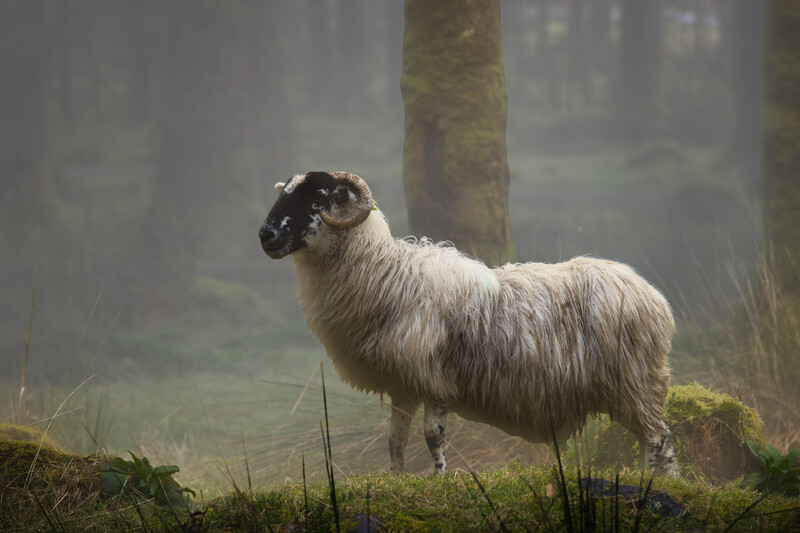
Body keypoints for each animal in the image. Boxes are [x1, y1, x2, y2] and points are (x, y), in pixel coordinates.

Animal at [258, 171, 680, 477]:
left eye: (317, 201)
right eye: (283, 195)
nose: (266, 235)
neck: (385, 275)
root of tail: (651, 295)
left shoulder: (432, 376)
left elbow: (432, 435)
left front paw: (441, 478)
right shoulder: (402, 382)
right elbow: (395, 440)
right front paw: (396, 479)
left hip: (635, 379)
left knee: (658, 438)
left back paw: (650, 481)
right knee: (660, 438)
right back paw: (665, 482)